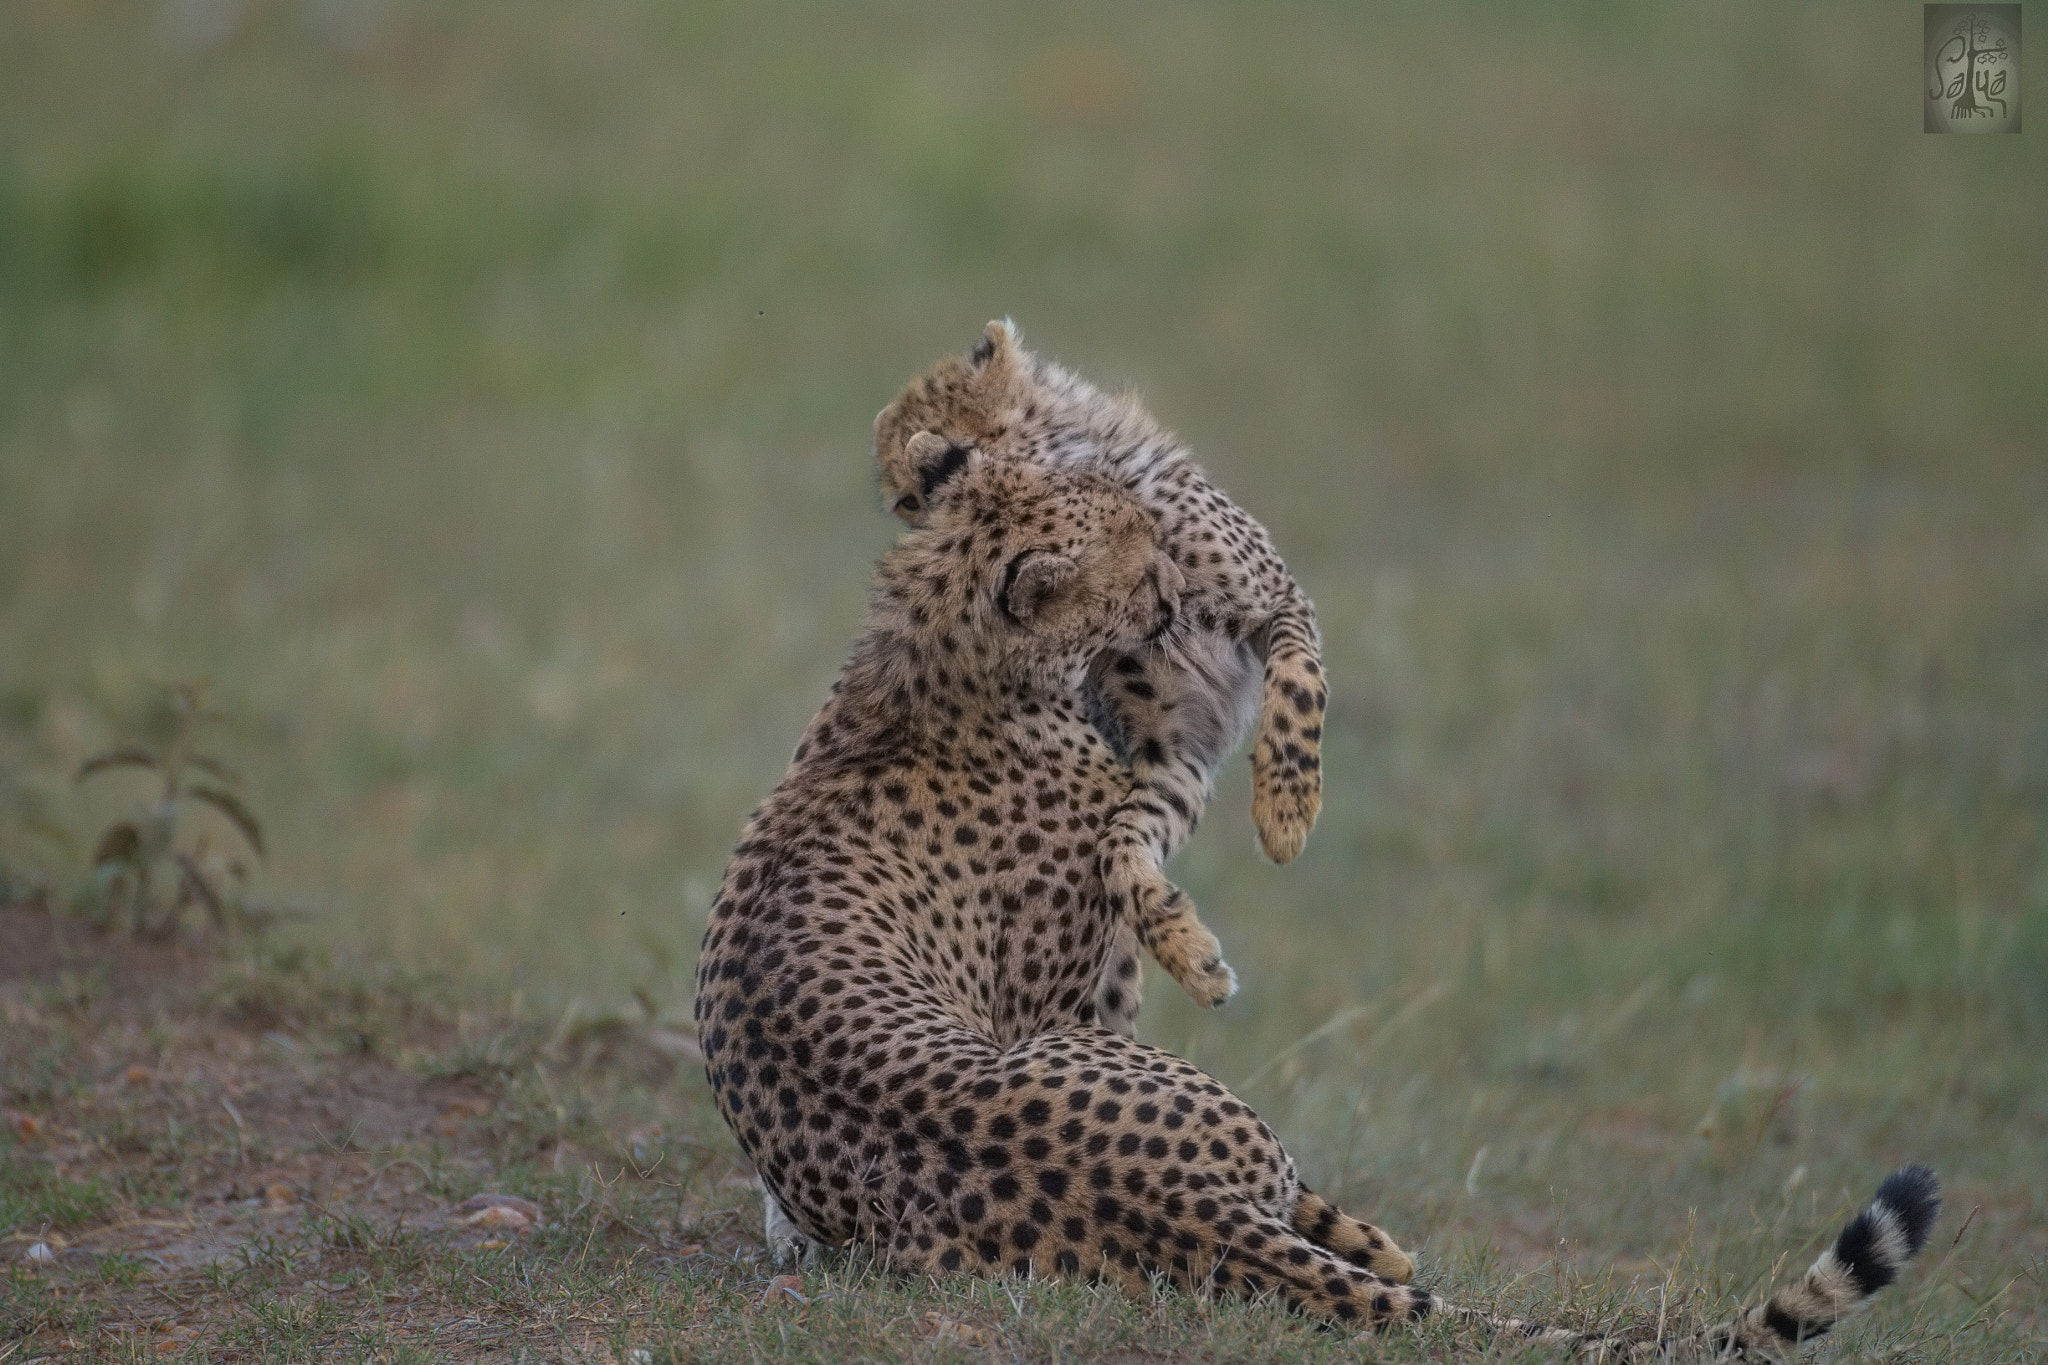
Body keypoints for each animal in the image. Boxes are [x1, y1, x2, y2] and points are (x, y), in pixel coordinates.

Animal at [693, 447, 1941, 1358]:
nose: (1182, 596)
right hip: (1162, 1095)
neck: (937, 665)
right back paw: (1381, 1248)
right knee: (1325, 1223)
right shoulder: (1065, 989)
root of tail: (1182, 1203)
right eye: (1140, 571)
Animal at [871, 320, 1323, 1029]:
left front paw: (1285, 810)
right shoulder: (1167, 750)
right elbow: (1119, 851)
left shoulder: (1280, 606)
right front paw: (1185, 951)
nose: (930, 519)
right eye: (907, 502)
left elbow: (1297, 690)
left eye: (920, 485)